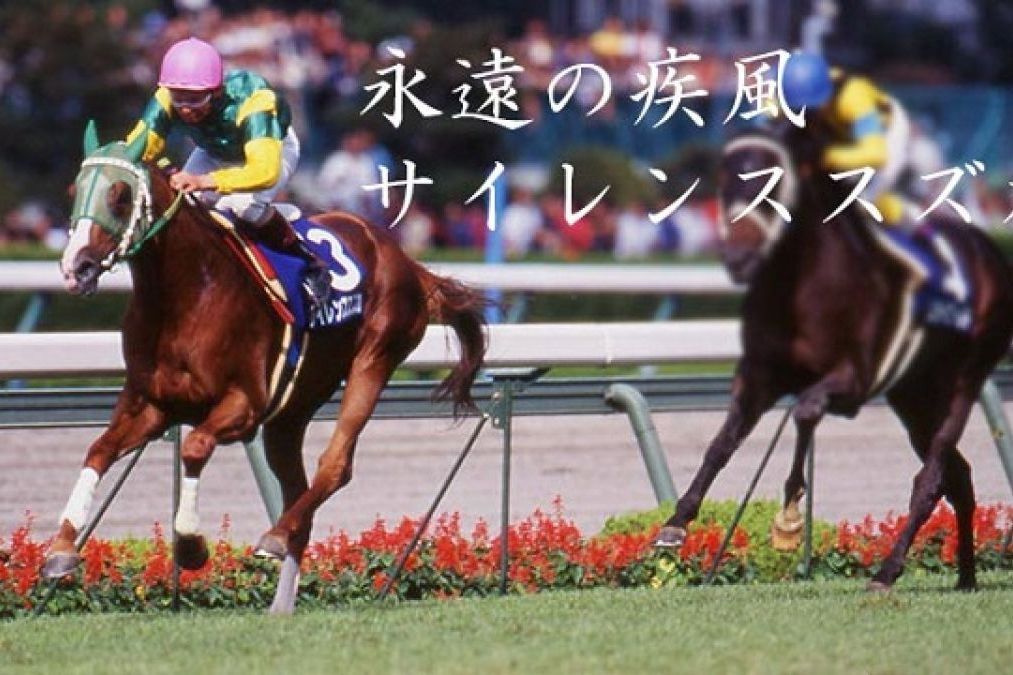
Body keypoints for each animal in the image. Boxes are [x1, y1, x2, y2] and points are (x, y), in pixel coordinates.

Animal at [46, 124, 487, 613]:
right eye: (75, 190)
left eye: (121, 196)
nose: (76, 266)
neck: (184, 295)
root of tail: (405, 259)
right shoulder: (152, 404)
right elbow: (99, 450)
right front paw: (61, 548)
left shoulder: (245, 404)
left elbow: (194, 446)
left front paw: (191, 545)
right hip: (292, 410)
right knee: (297, 488)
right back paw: (281, 600)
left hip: (374, 359)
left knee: (336, 464)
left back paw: (274, 537)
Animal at [655, 120, 1013, 591]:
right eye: (724, 178)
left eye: (773, 181)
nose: (737, 258)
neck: (800, 286)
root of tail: (989, 250)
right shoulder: (758, 376)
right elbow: (721, 444)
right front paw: (675, 524)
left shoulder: (853, 380)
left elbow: (805, 411)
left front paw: (789, 517)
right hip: (915, 397)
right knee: (959, 477)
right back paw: (966, 577)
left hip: (964, 379)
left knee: (932, 477)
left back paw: (887, 572)